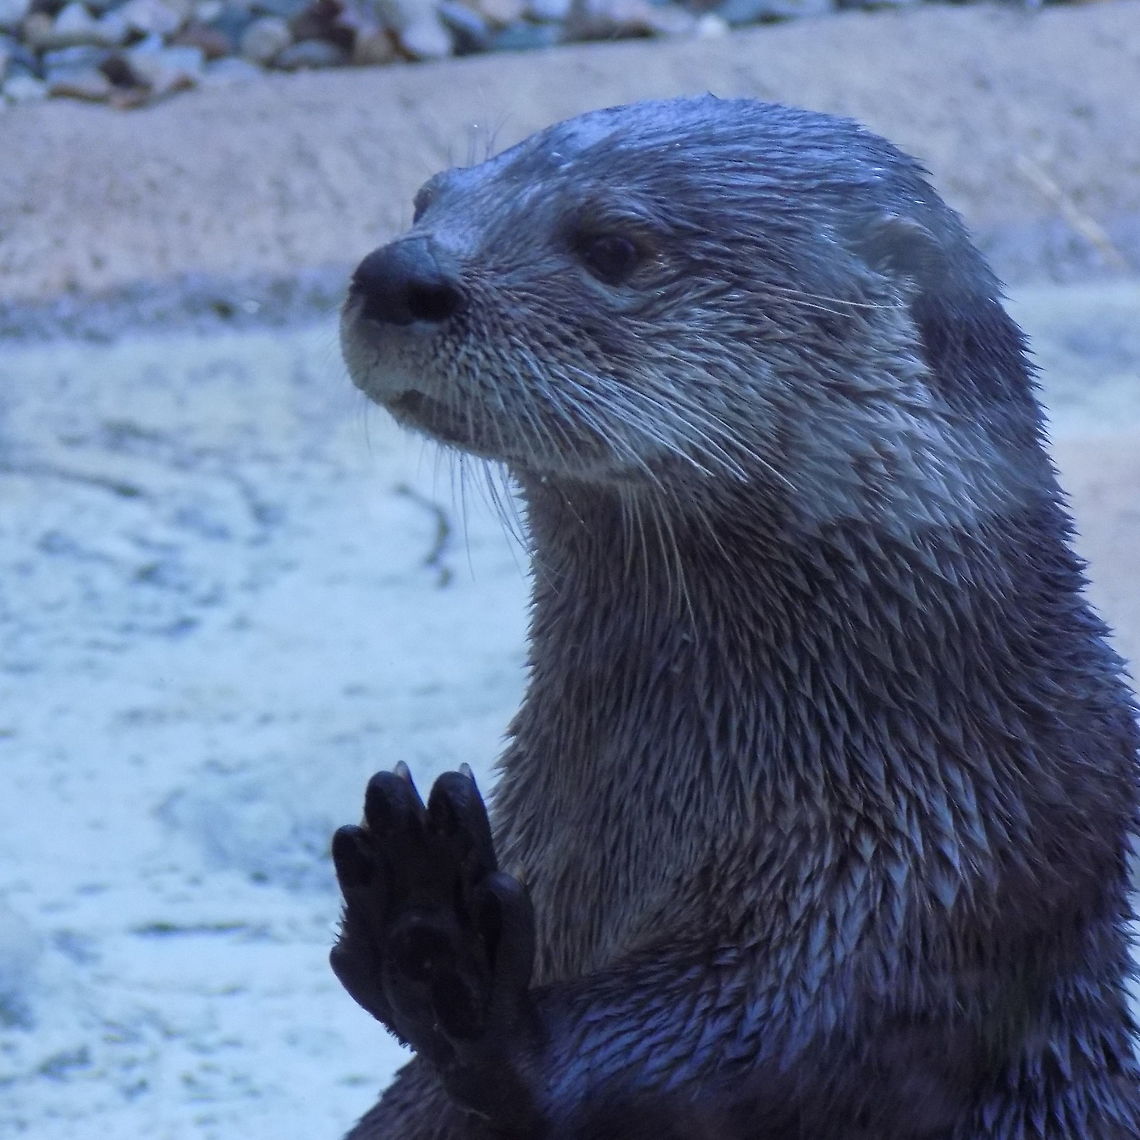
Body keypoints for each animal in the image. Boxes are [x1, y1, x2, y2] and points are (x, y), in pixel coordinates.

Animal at [330, 96, 1140, 1137]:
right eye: (427, 198)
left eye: (614, 246)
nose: (398, 272)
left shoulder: (949, 874)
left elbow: (767, 1039)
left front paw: (442, 954)